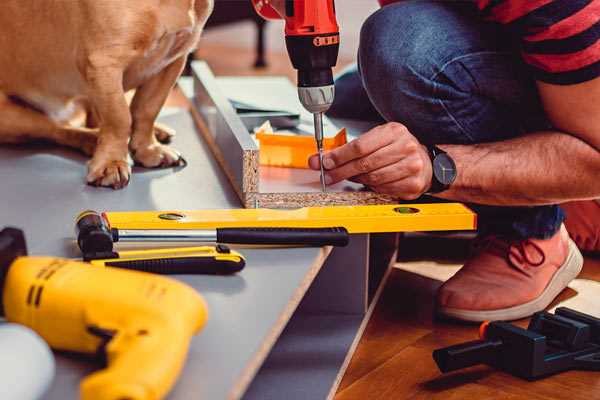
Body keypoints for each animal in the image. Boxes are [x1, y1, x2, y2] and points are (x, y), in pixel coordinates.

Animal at [0, 0, 213, 189]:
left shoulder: (171, 63)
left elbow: (147, 110)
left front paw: (148, 148)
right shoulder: (105, 63)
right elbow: (119, 118)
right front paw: (111, 162)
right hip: (12, 118)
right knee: (60, 129)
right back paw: (93, 140)